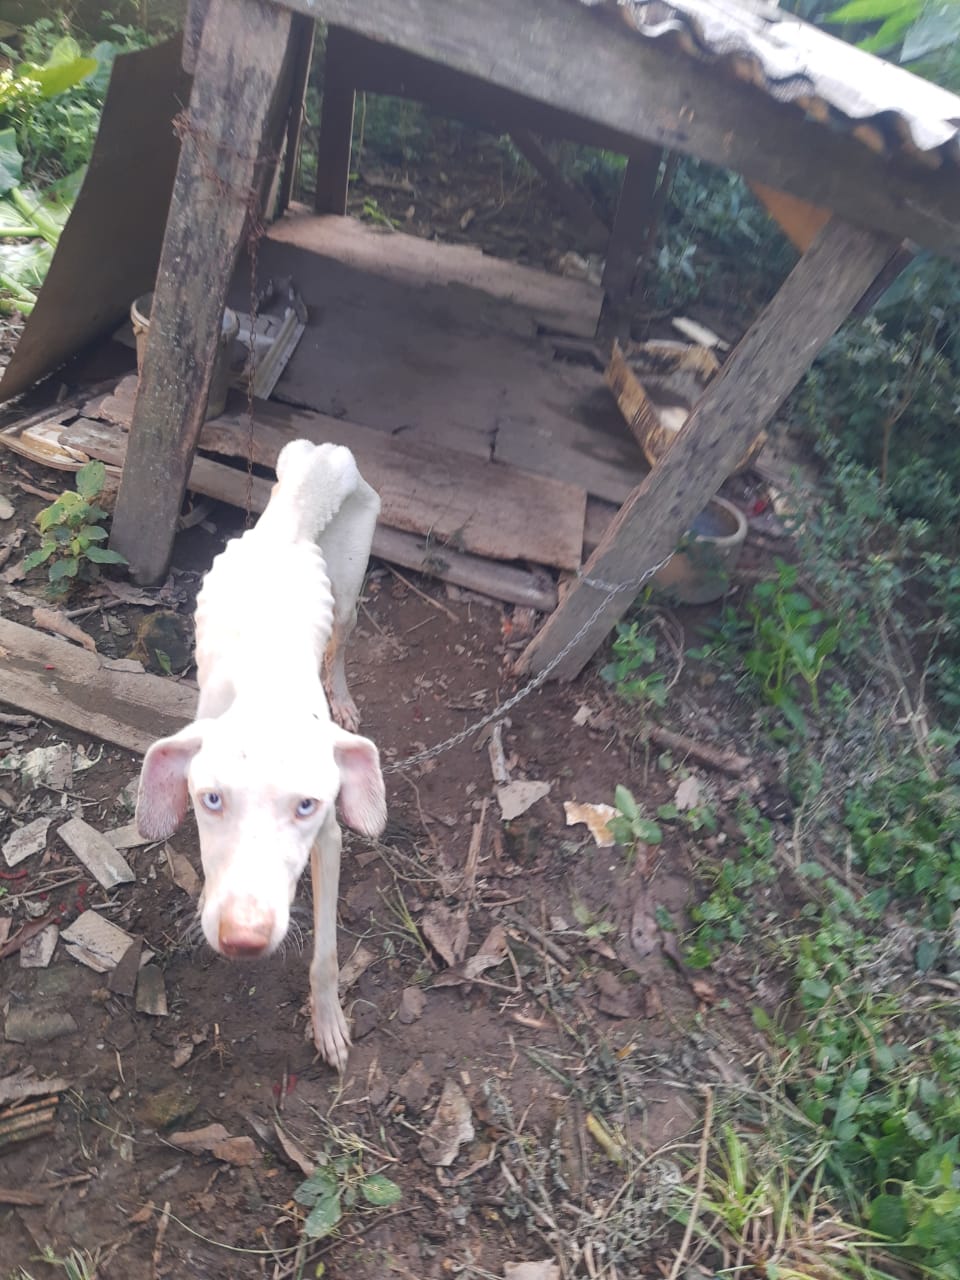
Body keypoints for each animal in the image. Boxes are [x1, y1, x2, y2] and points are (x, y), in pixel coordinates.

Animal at [136, 440, 386, 1070]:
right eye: (210, 800)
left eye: (307, 806)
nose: (242, 938)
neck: (265, 696)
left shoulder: (329, 840)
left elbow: (325, 955)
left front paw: (327, 1022)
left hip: (349, 592)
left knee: (340, 644)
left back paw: (343, 698)